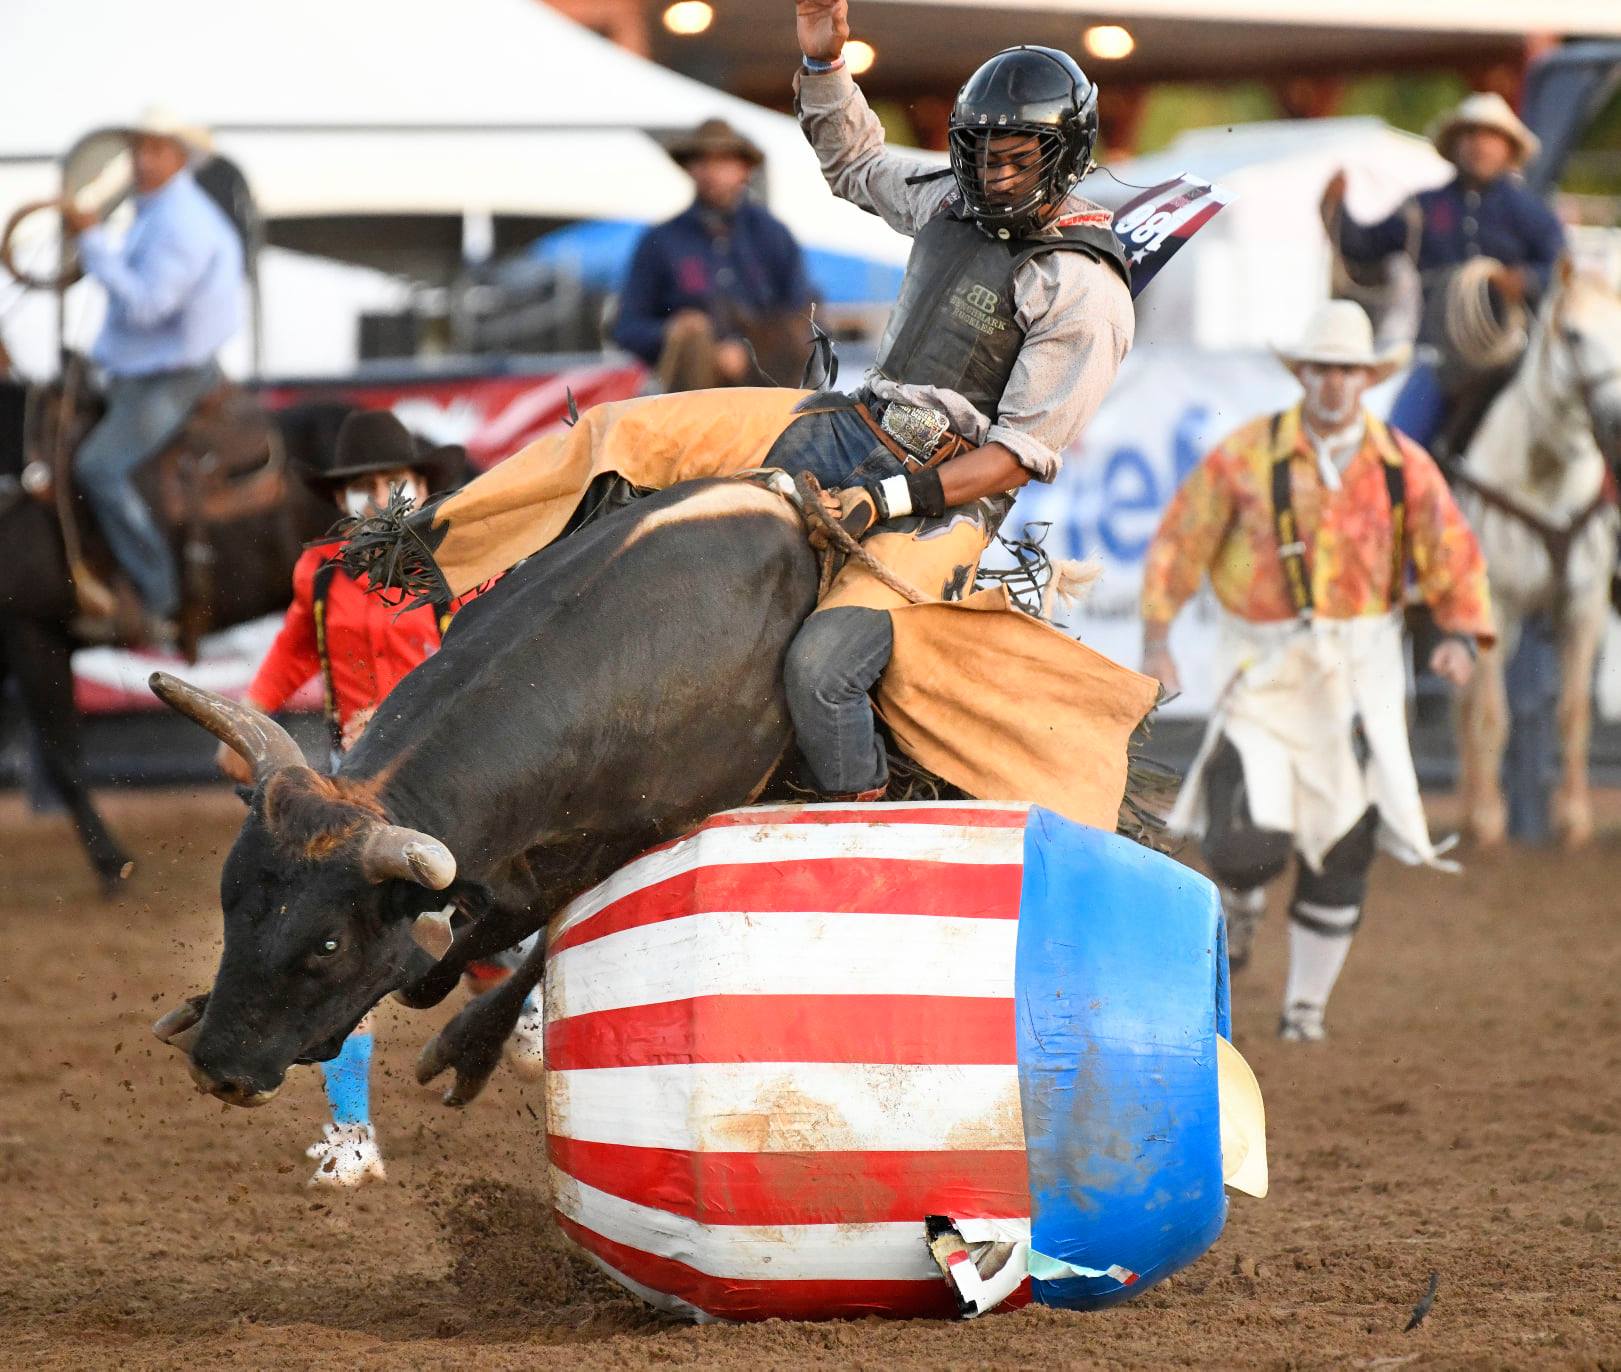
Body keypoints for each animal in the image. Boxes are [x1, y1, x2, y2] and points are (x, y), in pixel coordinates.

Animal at [152, 483, 816, 1109]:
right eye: (229, 897)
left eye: (329, 944)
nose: (221, 1072)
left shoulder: (620, 844)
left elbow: (466, 957)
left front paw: (465, 1045)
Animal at [1458, 261, 1621, 849]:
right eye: (1572, 334)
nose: (1617, 419)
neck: (1542, 471)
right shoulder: (1497, 603)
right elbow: (1491, 713)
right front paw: (1488, 819)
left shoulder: (1584, 602)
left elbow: (1572, 712)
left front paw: (1573, 817)